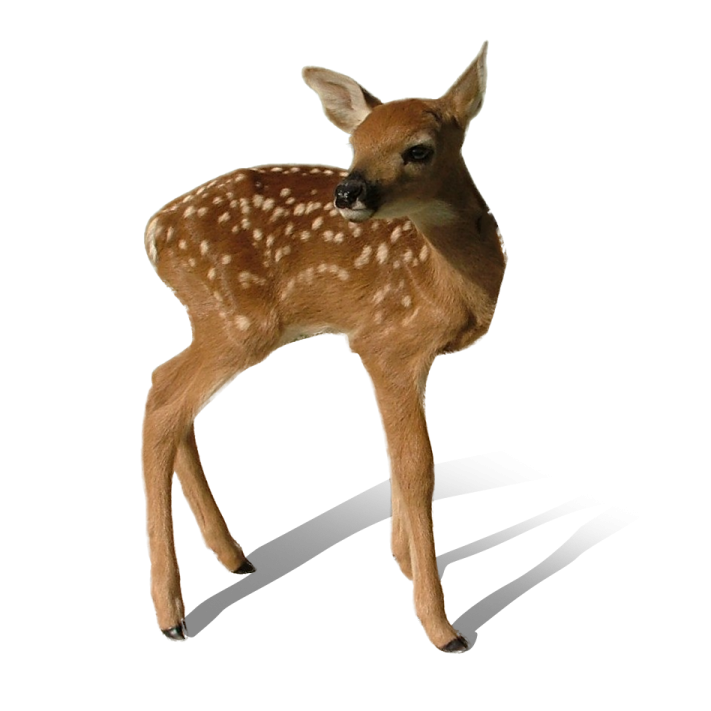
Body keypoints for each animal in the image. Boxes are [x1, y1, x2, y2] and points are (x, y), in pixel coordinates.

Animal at [142, 39, 506, 654]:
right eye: (354, 145)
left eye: (418, 149)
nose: (348, 191)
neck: (449, 276)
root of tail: (154, 233)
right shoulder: (387, 344)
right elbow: (418, 466)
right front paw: (441, 626)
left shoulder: (401, 355)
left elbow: (395, 455)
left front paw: (402, 560)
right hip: (239, 322)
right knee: (164, 404)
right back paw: (172, 616)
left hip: (215, 321)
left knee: (166, 391)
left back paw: (233, 557)